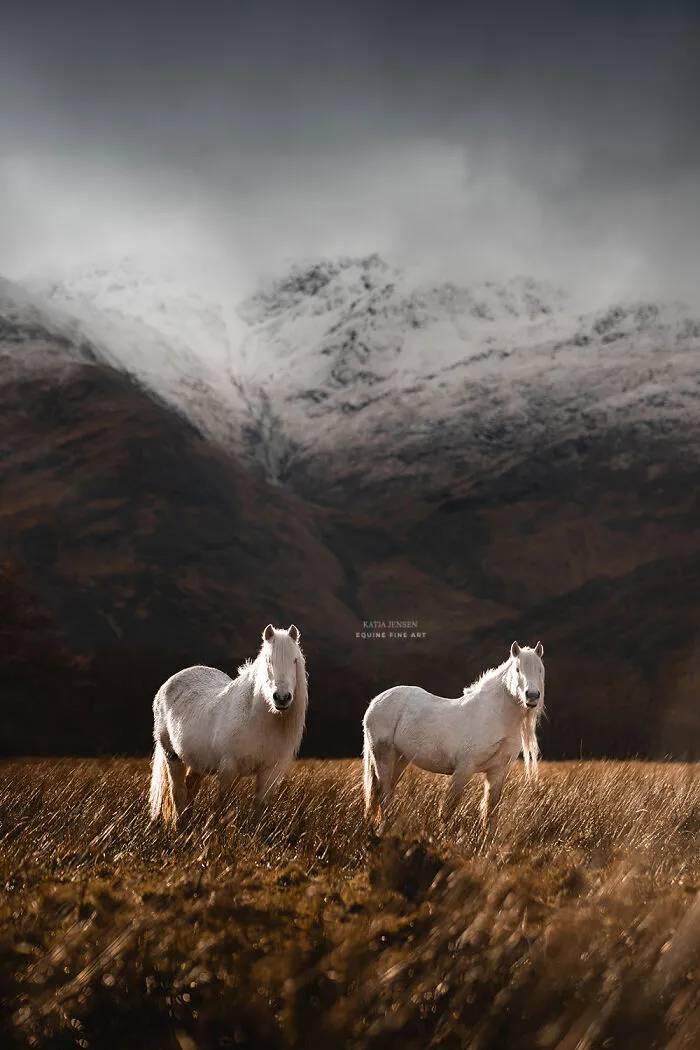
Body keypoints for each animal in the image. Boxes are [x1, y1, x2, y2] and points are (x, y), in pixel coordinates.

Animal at [149, 624, 308, 827]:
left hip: (196, 760)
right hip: (172, 756)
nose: (281, 698)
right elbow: (223, 806)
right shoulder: (229, 770)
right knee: (178, 791)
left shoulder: (270, 772)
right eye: (268, 660)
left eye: (295, 660)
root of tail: (167, 685)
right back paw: (181, 826)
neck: (257, 720)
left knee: (191, 787)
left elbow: (259, 809)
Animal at [362, 640, 545, 831]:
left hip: (400, 759)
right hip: (384, 756)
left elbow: (490, 810)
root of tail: (375, 702)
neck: (496, 717)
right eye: (517, 669)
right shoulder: (464, 769)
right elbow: (448, 808)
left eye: (540, 669)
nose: (532, 696)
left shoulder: (497, 772)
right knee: (384, 794)